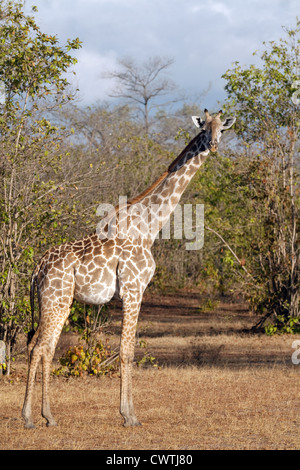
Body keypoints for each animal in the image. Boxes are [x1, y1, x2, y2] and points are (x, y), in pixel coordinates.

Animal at [22, 108, 236, 428]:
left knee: (44, 347)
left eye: (221, 129)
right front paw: (129, 416)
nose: (213, 145)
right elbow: (126, 351)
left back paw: (48, 416)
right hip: (55, 299)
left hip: (60, 301)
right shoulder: (134, 290)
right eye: (204, 129)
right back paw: (28, 417)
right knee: (38, 347)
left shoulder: (132, 293)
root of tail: (37, 269)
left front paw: (128, 412)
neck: (149, 227)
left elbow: (125, 349)